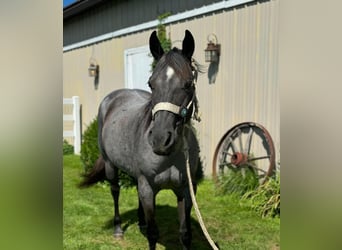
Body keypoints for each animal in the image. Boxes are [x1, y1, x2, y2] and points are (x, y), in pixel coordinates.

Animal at [80, 30, 202, 249]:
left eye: (188, 84)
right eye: (151, 84)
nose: (161, 140)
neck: (170, 157)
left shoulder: (187, 190)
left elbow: (185, 233)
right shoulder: (148, 188)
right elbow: (153, 234)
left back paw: (141, 222)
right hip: (111, 165)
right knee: (115, 191)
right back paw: (118, 229)